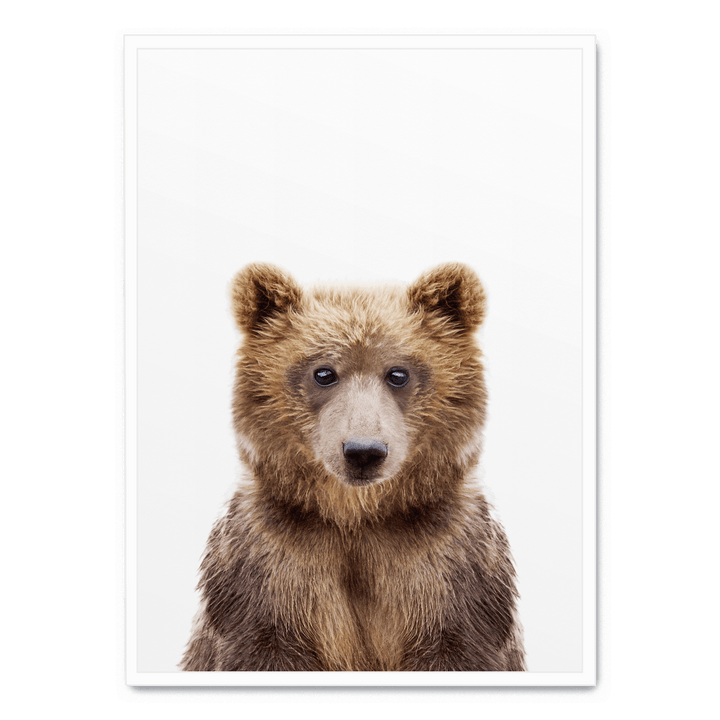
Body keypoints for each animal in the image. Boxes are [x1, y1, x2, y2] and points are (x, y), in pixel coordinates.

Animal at [180, 262, 526, 672]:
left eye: (398, 373)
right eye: (324, 372)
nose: (363, 451)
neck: (357, 517)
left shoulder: (450, 568)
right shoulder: (267, 568)